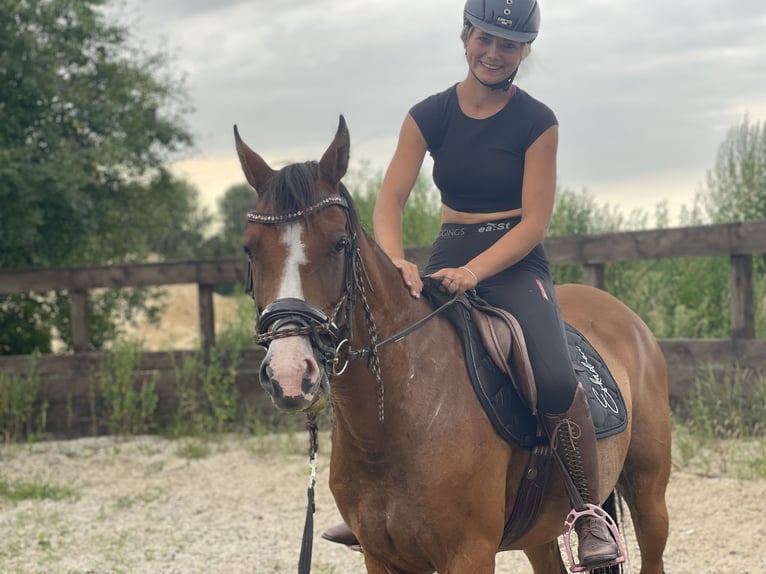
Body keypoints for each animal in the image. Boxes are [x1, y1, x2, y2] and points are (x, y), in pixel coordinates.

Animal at [236, 117, 672, 574]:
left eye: (339, 243)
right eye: (250, 248)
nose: (289, 374)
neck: (391, 427)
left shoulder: (470, 552)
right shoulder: (380, 556)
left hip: (649, 497)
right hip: (540, 532)